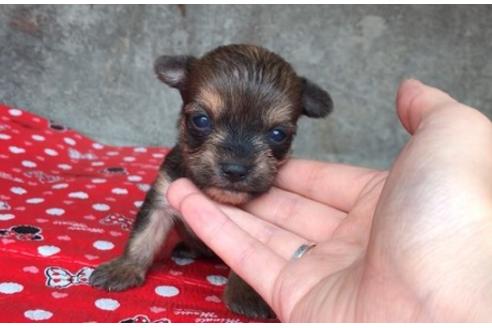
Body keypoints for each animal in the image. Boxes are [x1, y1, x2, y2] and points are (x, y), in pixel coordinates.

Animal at [90, 44, 332, 320]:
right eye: (201, 120)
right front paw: (125, 268)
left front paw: (246, 295)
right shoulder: (162, 196)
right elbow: (143, 236)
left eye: (278, 134)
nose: (236, 169)